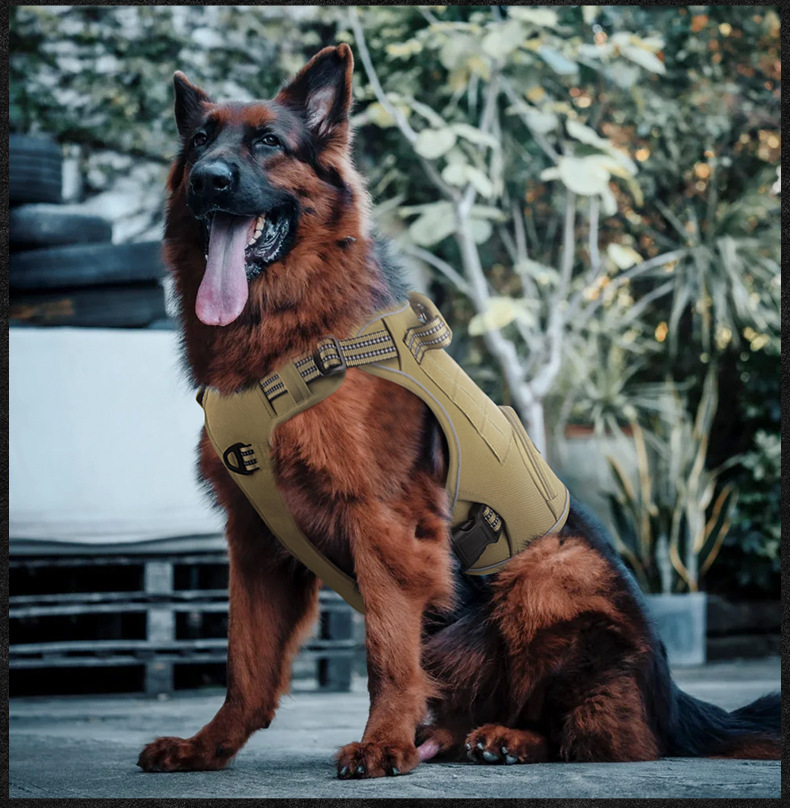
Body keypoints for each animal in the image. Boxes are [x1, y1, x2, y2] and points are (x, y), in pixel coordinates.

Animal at [137, 44, 781, 777]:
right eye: (200, 141)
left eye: (268, 143)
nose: (209, 181)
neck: (291, 339)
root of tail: (675, 700)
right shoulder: (253, 544)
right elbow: (243, 666)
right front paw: (207, 747)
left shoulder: (384, 527)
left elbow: (387, 654)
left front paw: (382, 743)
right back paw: (454, 738)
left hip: (548, 570)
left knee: (607, 738)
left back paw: (510, 740)